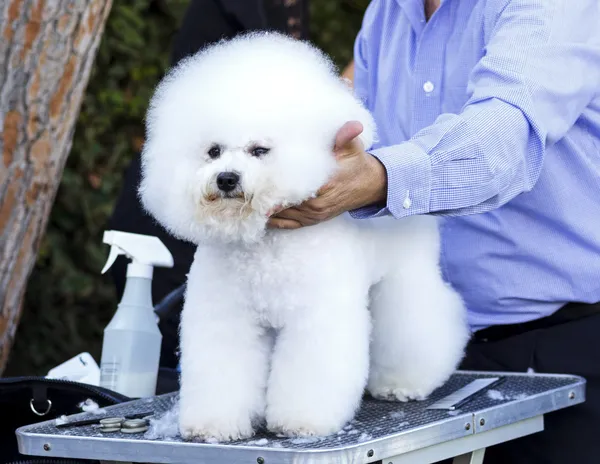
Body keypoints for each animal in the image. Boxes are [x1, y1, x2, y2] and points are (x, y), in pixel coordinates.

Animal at [138, 30, 472, 440]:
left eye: (259, 150)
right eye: (213, 151)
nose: (227, 178)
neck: (265, 245)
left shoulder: (315, 317)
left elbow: (310, 373)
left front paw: (301, 422)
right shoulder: (227, 317)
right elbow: (223, 371)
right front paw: (215, 426)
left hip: (403, 281)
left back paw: (402, 383)